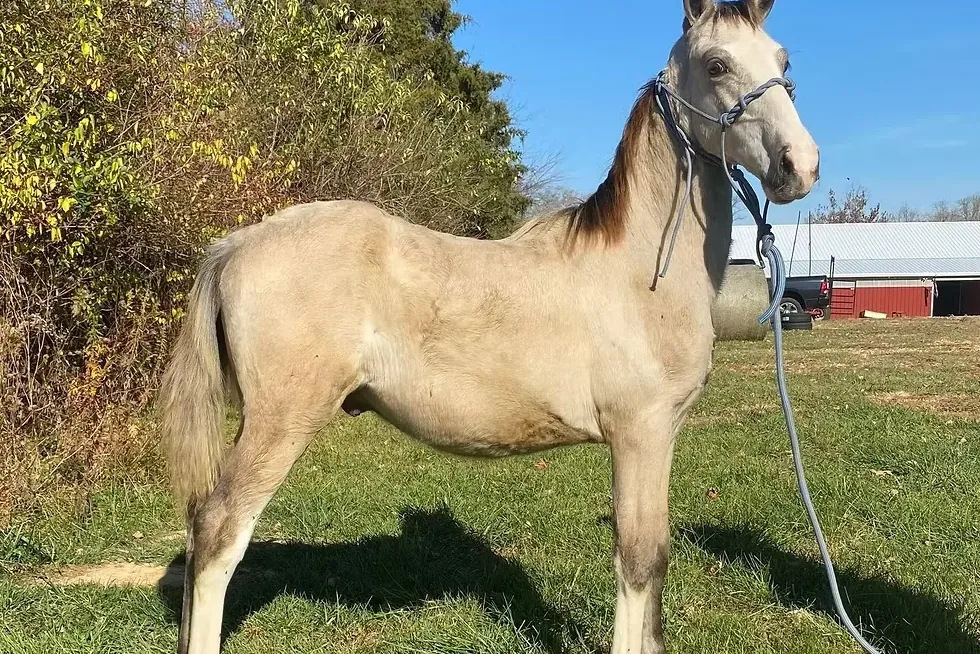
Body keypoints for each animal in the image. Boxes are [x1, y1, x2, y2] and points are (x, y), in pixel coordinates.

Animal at [159, 0, 819, 652]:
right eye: (716, 64)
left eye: (785, 60)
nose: (801, 166)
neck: (639, 271)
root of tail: (236, 244)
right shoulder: (641, 434)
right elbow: (640, 561)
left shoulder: (662, 437)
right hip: (279, 422)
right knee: (219, 534)